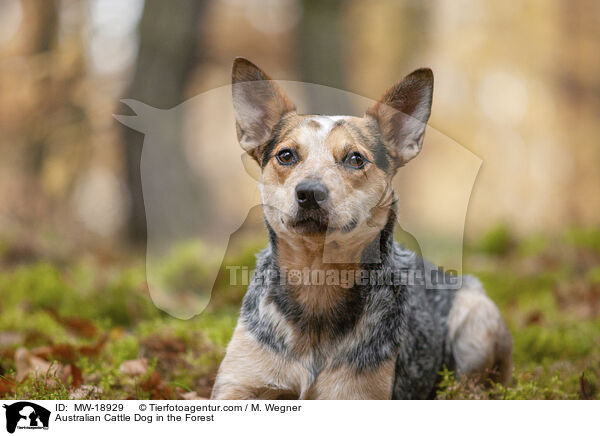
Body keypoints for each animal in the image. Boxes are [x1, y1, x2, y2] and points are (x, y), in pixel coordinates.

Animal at [211, 58, 510, 402]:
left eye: (355, 158)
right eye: (286, 155)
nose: (310, 192)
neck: (317, 282)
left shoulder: (359, 394)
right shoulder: (237, 384)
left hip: (477, 321)